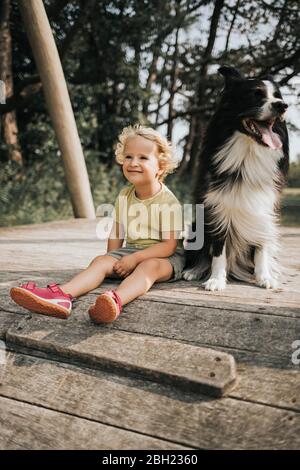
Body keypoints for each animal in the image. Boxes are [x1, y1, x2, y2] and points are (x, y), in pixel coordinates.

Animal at [183, 66, 288, 290]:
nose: (283, 106)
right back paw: (194, 270)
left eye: (278, 96)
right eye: (256, 95)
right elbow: (217, 249)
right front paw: (216, 279)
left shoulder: (264, 208)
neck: (248, 152)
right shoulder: (218, 208)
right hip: (197, 225)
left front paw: (264, 277)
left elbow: (261, 244)